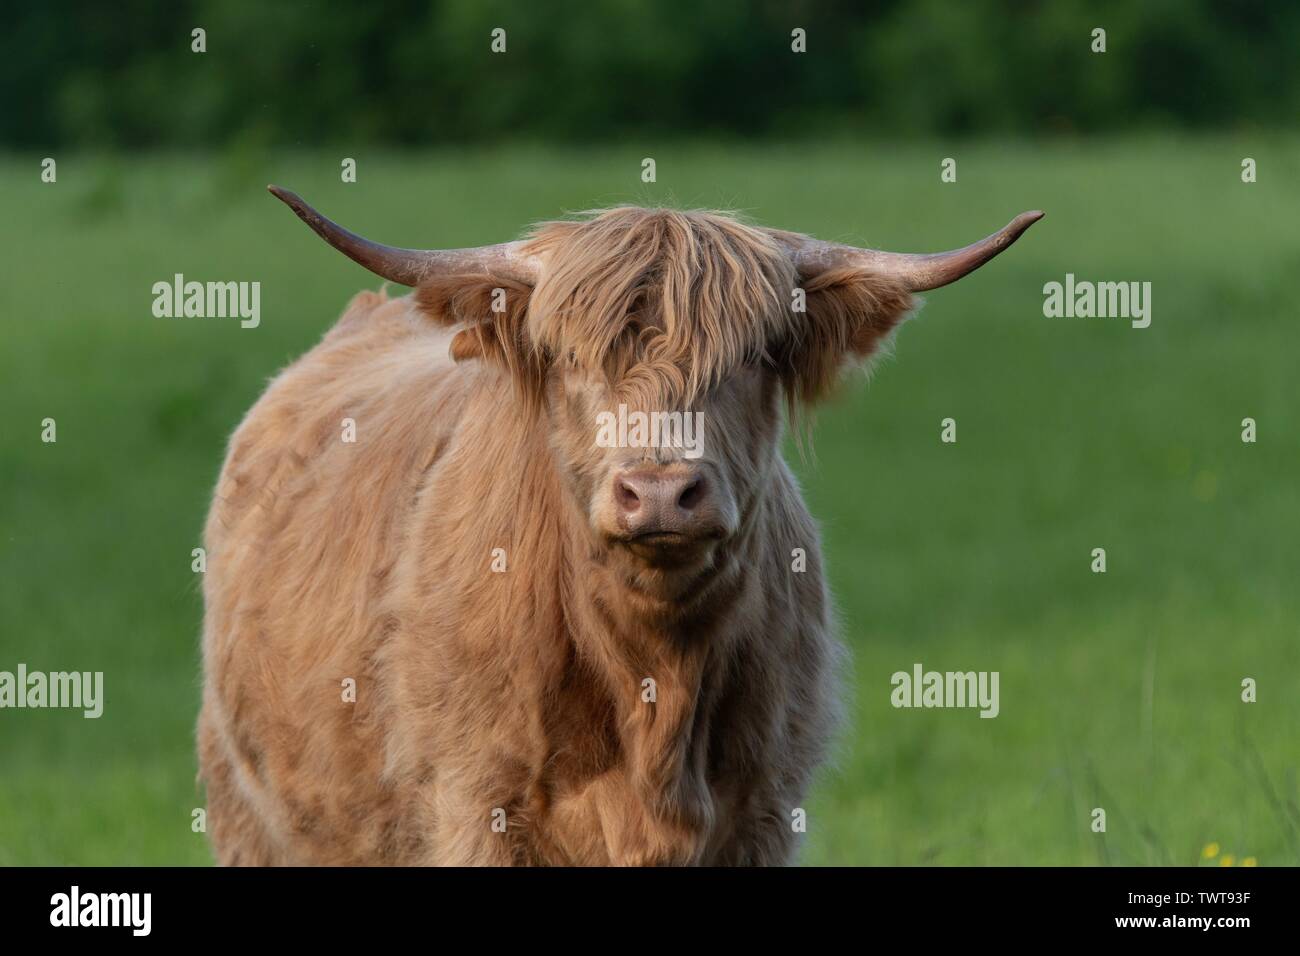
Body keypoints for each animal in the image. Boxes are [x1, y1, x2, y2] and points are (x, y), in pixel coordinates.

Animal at [196, 187, 1041, 865]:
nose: (661, 492)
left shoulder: (765, 810)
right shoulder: (474, 805)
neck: (655, 678)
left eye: (756, 357)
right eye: (570, 357)